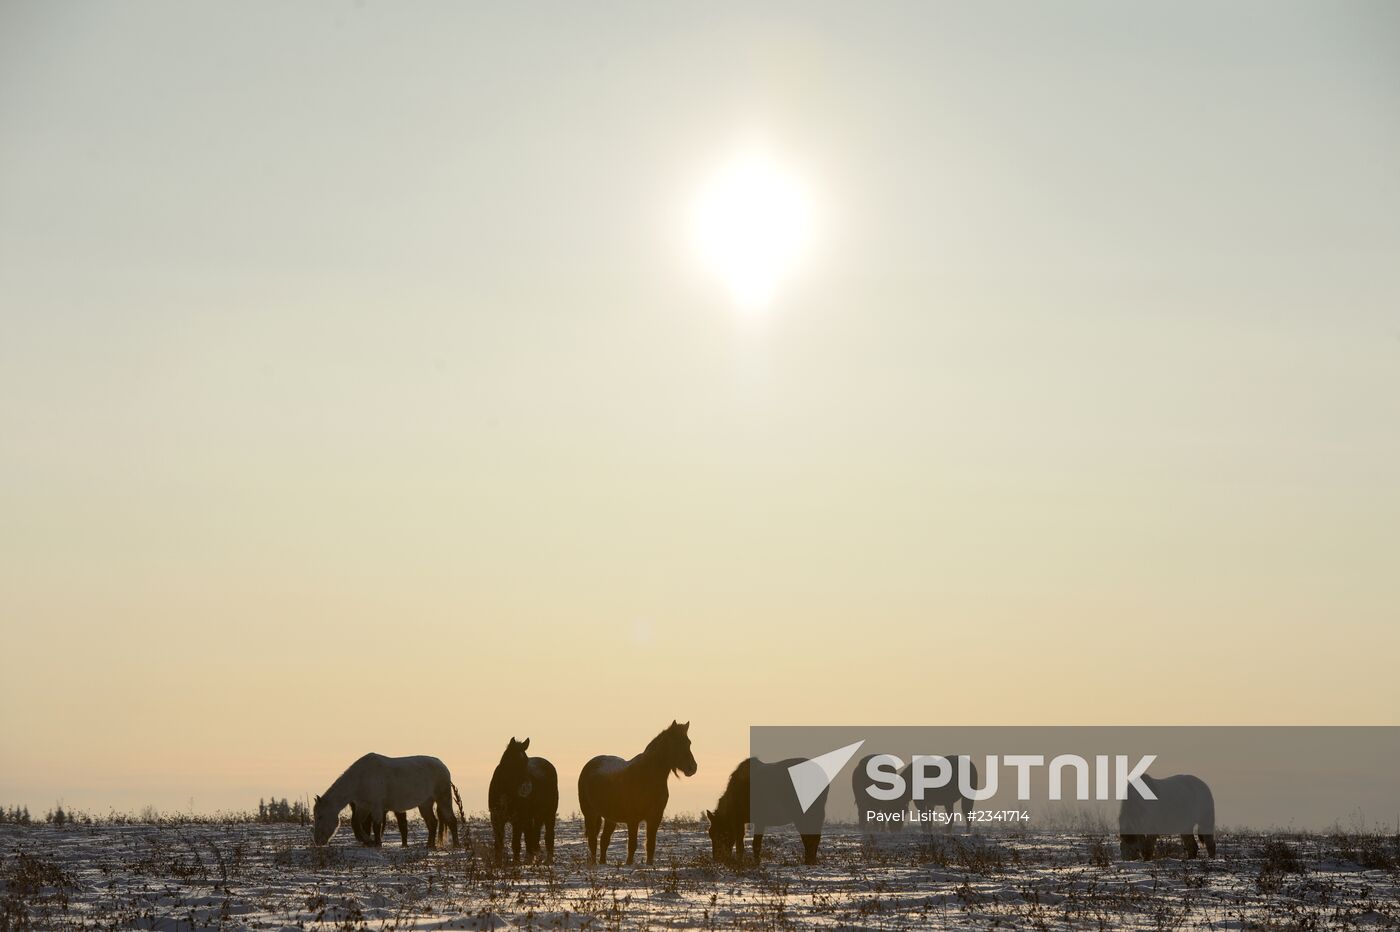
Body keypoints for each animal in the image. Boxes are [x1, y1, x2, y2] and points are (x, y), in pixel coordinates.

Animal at [312, 750, 459, 845]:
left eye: (320, 816)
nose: (318, 841)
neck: (361, 778)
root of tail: (443, 765)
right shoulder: (363, 806)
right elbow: (356, 823)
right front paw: (367, 840)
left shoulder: (377, 806)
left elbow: (377, 825)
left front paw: (377, 843)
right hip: (425, 804)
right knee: (433, 823)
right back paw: (430, 846)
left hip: (443, 799)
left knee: (452, 821)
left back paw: (456, 845)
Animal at [490, 733, 560, 862]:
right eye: (513, 761)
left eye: (526, 761)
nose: (527, 786)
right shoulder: (496, 818)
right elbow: (498, 843)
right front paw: (498, 863)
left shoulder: (517, 819)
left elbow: (516, 843)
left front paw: (516, 862)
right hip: (533, 816)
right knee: (532, 834)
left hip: (549, 814)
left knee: (548, 835)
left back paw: (547, 859)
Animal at [576, 716, 697, 862]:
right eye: (676, 743)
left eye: (688, 743)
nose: (692, 768)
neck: (646, 776)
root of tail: (589, 765)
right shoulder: (633, 820)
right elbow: (632, 846)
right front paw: (628, 864)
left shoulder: (655, 817)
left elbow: (650, 846)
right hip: (590, 813)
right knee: (593, 841)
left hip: (610, 818)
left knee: (604, 840)